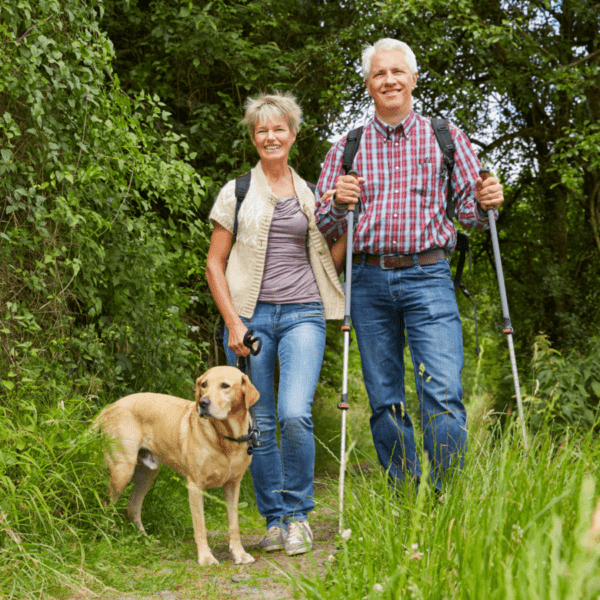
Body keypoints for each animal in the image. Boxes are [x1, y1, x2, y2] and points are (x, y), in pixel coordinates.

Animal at [95, 364, 258, 564]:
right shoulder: (195, 486)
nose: (203, 403)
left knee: (132, 506)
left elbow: (234, 525)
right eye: (204, 384)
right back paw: (108, 536)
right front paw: (205, 557)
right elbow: (200, 525)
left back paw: (146, 539)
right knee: (106, 505)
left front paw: (239, 554)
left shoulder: (233, 485)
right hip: (122, 471)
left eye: (225, 386)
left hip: (147, 474)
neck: (227, 439)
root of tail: (111, 406)